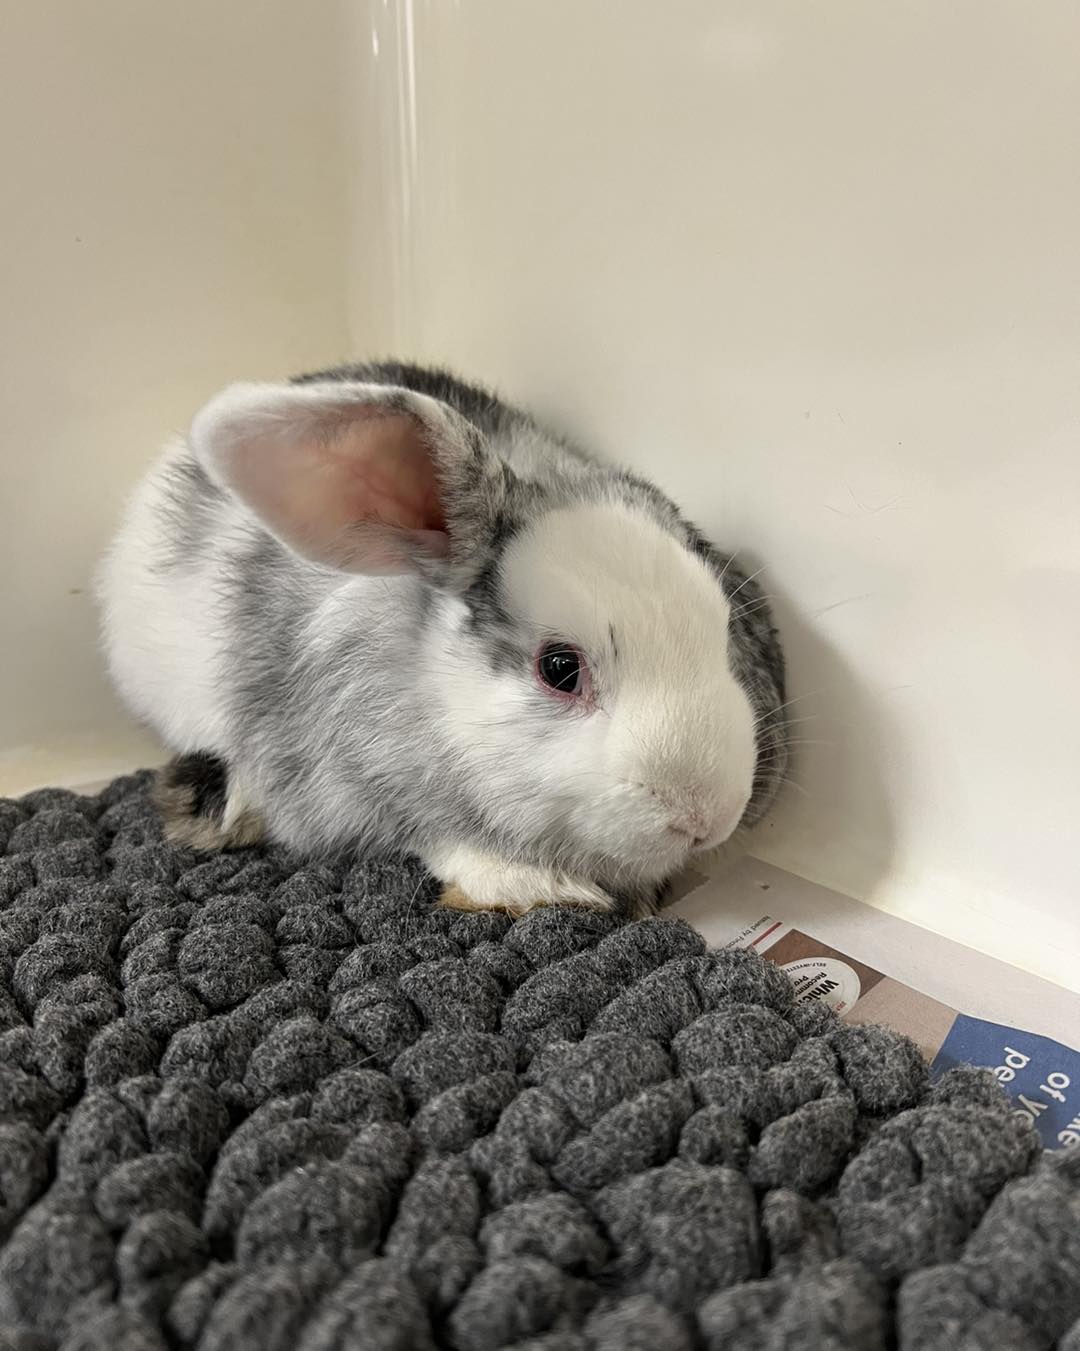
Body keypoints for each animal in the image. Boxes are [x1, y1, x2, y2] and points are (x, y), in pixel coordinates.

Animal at [98, 361, 789, 916]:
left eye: (723, 623)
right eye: (559, 668)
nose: (707, 815)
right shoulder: (350, 784)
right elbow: (439, 839)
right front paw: (535, 885)